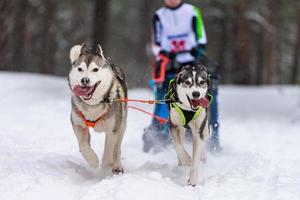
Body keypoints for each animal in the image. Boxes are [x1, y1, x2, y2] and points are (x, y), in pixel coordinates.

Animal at [68, 43, 127, 173]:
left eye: (95, 69)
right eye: (80, 69)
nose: (85, 80)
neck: (93, 105)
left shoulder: (112, 129)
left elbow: (109, 149)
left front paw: (106, 164)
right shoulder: (78, 125)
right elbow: (83, 145)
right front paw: (93, 161)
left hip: (122, 125)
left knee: (117, 148)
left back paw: (117, 165)